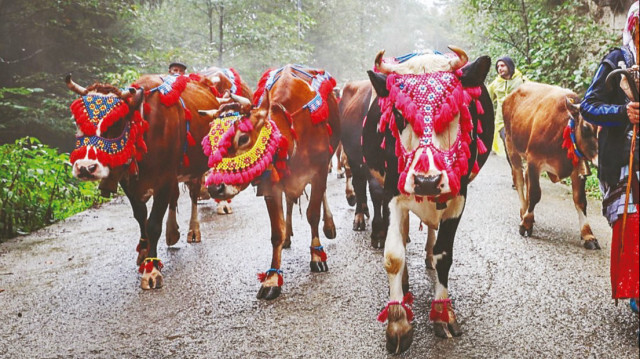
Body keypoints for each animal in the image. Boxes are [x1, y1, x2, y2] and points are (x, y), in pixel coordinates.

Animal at [65, 72, 219, 290]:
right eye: (77, 121)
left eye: (116, 123)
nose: (86, 167)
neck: (143, 129)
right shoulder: (128, 182)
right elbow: (140, 217)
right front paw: (144, 252)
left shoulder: (164, 179)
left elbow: (153, 224)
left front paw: (152, 270)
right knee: (175, 197)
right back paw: (172, 233)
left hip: (194, 168)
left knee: (194, 195)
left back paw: (193, 231)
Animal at [199, 64, 340, 300]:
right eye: (211, 139)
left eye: (243, 137)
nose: (214, 187)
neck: (292, 133)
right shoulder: (272, 185)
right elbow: (276, 232)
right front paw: (272, 279)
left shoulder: (319, 171)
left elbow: (312, 213)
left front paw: (317, 256)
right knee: (290, 202)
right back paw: (289, 236)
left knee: (321, 198)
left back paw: (329, 226)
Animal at [502, 82, 604, 249]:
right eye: (586, 128)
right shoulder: (534, 160)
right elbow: (535, 193)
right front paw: (526, 224)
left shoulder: (577, 169)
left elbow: (580, 200)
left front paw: (588, 235)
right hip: (512, 147)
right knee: (519, 179)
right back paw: (524, 212)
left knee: (525, 177)